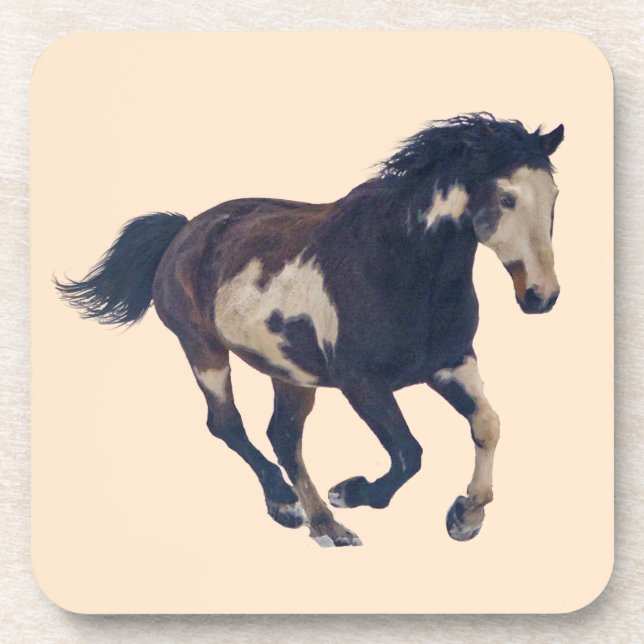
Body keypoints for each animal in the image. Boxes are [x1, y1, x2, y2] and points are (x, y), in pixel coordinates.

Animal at [56, 113, 564, 547]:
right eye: (507, 197)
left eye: (555, 197)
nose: (541, 295)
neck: (397, 264)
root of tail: (183, 232)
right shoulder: (361, 383)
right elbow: (409, 453)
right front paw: (354, 491)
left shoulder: (451, 362)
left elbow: (487, 426)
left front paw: (465, 516)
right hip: (202, 348)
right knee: (227, 425)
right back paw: (296, 509)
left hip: (291, 374)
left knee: (283, 436)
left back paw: (323, 523)